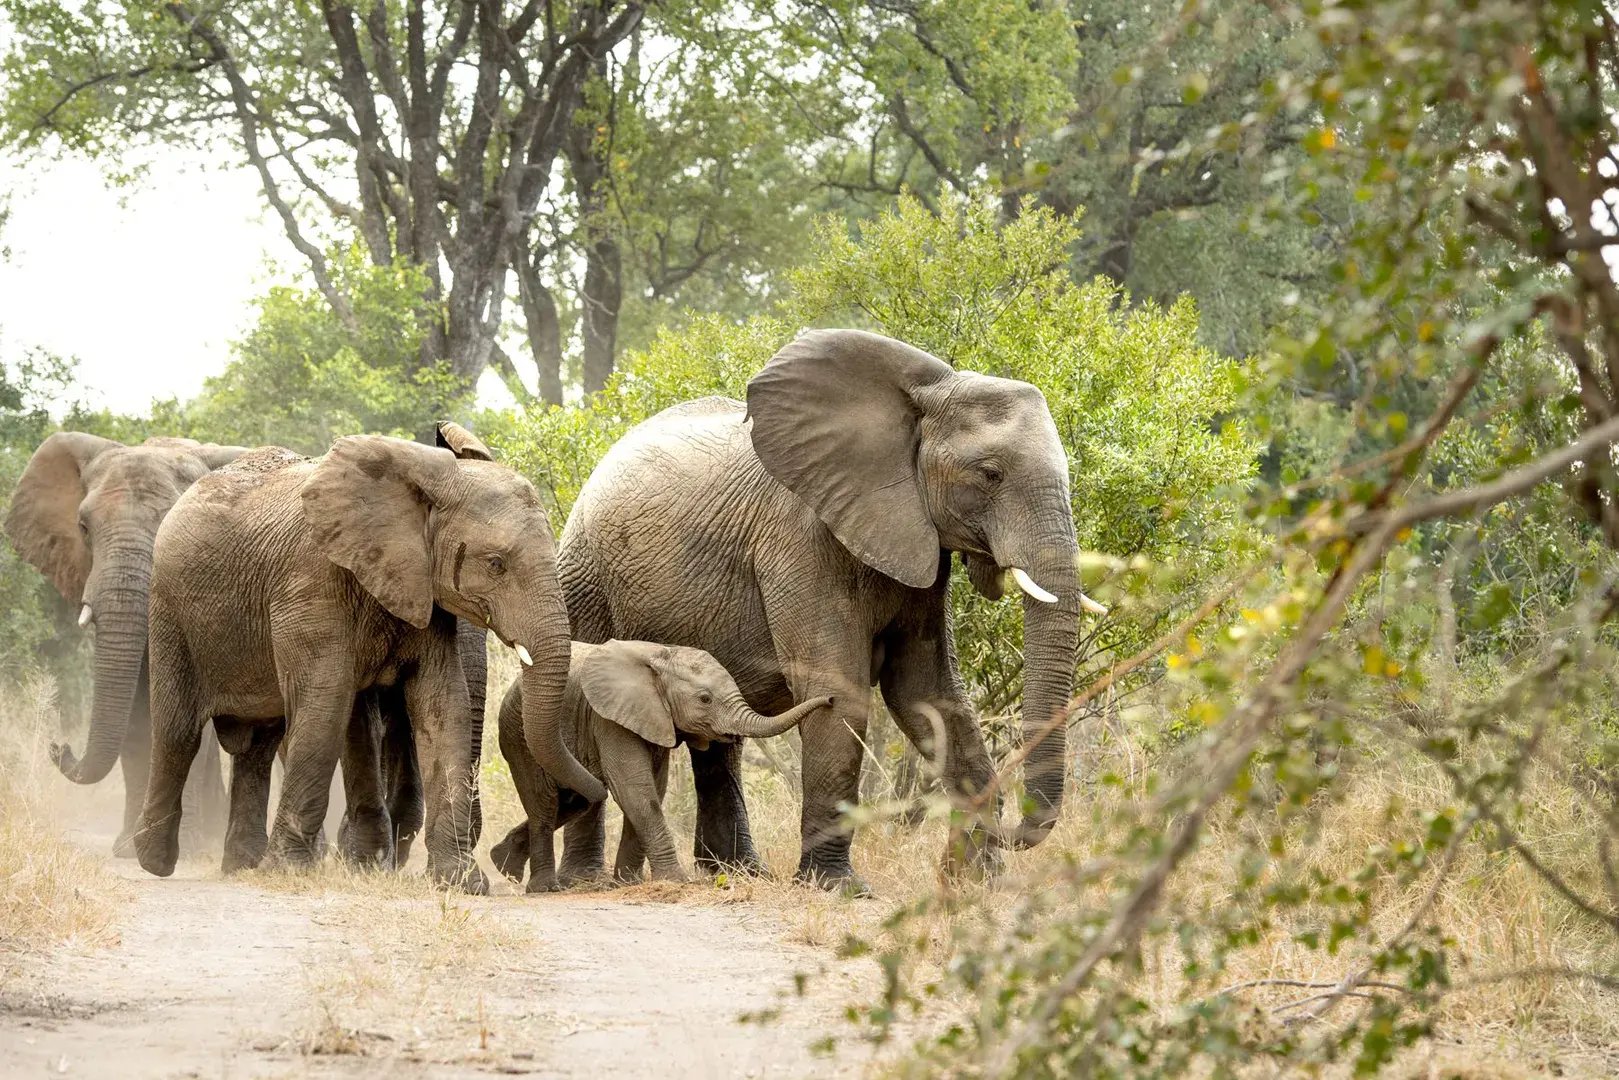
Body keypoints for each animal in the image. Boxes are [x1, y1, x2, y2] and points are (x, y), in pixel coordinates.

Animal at [129, 424, 592, 893]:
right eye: (496, 563)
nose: (506, 856)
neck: (427, 479)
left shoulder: (418, 589)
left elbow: (443, 706)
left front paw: (460, 881)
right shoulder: (311, 582)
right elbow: (327, 705)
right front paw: (291, 871)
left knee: (258, 745)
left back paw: (241, 865)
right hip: (168, 609)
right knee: (177, 732)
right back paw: (154, 860)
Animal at [495, 637, 835, 893]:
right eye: (705, 699)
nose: (830, 700)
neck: (661, 656)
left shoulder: (655, 717)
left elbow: (653, 788)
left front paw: (627, 883)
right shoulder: (609, 718)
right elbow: (634, 787)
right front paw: (675, 881)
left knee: (574, 799)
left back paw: (502, 862)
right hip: (517, 734)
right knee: (545, 803)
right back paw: (542, 887)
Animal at [553, 330, 1100, 893]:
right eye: (990, 474)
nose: (1011, 826)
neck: (926, 392)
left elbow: (928, 694)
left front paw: (981, 880)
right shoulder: (801, 538)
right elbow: (839, 694)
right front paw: (836, 886)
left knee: (721, 738)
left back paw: (736, 873)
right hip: (582, 578)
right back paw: (584, 881)